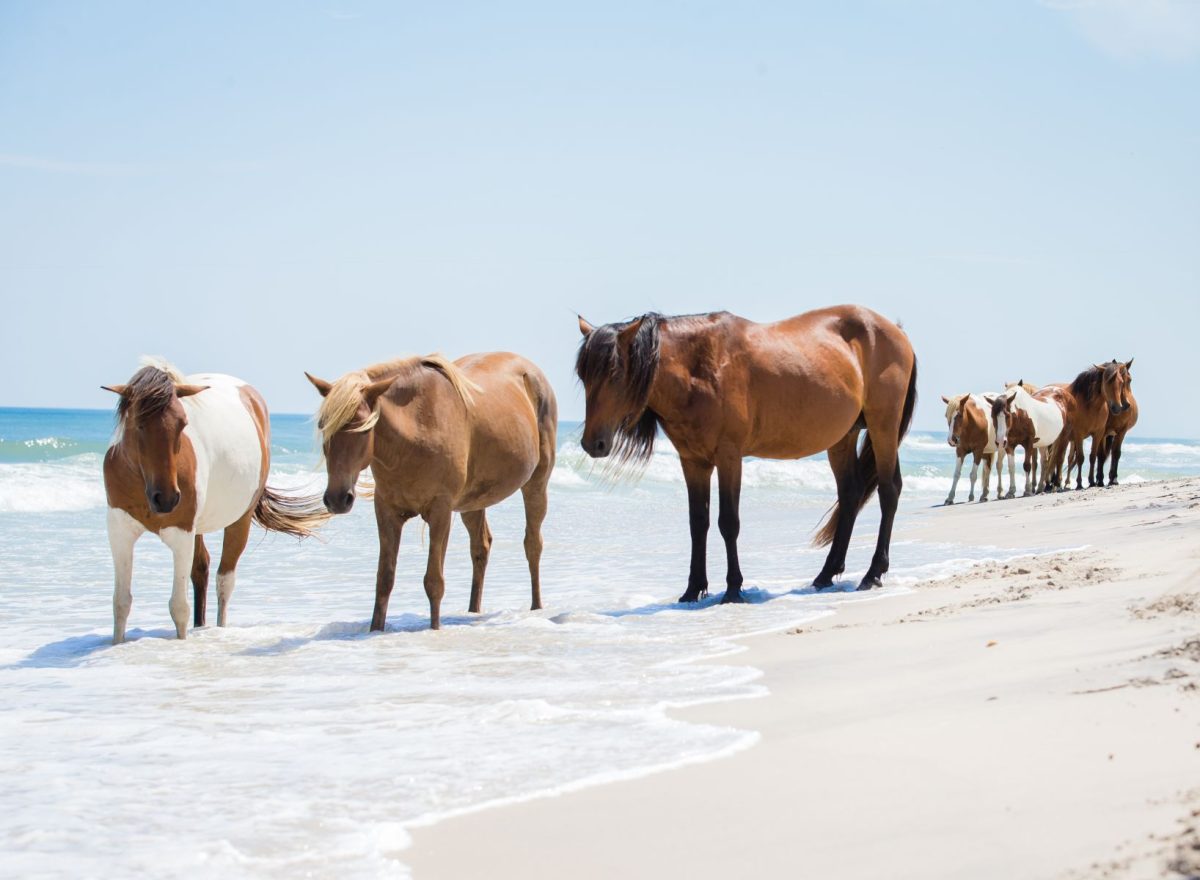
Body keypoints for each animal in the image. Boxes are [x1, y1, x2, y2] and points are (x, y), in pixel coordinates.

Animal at [103, 358, 329, 644]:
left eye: (182, 423)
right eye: (138, 424)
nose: (166, 499)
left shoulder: (181, 533)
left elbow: (178, 607)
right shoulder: (120, 532)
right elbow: (121, 602)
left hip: (238, 521)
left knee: (225, 580)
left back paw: (220, 628)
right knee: (201, 570)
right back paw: (201, 626)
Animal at [305, 353, 556, 631]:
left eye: (363, 427)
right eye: (323, 426)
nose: (337, 499)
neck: (415, 430)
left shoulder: (440, 511)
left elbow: (434, 581)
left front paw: (434, 629)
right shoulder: (386, 511)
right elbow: (384, 578)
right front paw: (375, 630)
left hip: (536, 484)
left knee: (533, 544)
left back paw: (536, 606)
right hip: (473, 501)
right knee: (480, 547)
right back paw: (473, 611)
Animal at [575, 306, 917, 596]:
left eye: (615, 372)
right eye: (583, 375)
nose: (593, 443)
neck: (701, 367)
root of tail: (897, 332)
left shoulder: (729, 457)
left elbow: (728, 522)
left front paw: (732, 589)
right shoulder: (693, 462)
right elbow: (697, 523)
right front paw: (693, 591)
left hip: (883, 425)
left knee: (888, 490)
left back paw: (873, 573)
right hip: (843, 437)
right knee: (850, 495)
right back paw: (825, 575)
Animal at [1047, 360, 1133, 490]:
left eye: (1122, 382)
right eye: (1107, 381)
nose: (1117, 407)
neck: (1091, 406)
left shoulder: (1098, 434)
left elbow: (1092, 456)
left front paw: (1092, 481)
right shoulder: (1079, 434)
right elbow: (1080, 458)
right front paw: (1079, 483)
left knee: (1058, 458)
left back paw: (1055, 484)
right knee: (1052, 459)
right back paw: (1049, 485)